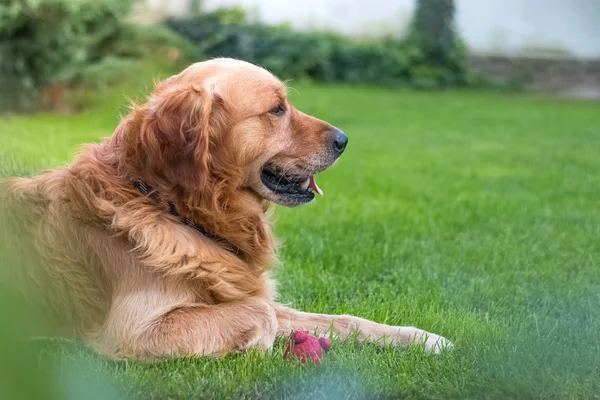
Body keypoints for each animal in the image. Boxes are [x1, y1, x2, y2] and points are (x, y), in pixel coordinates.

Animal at [0, 58, 450, 360]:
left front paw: (421, 337)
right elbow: (261, 313)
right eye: (277, 109)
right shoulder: (132, 330)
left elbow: (341, 319)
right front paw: (257, 347)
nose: (343, 140)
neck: (166, 205)